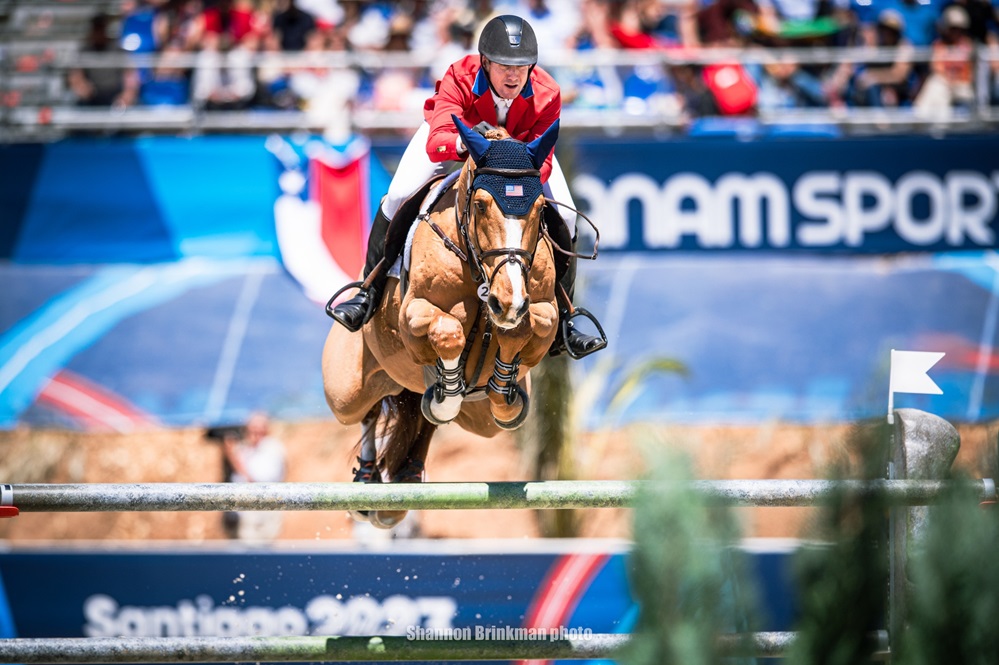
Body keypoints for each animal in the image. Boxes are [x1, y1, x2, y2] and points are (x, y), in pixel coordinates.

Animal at [322, 116, 563, 528]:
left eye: (539, 208)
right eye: (481, 205)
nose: (507, 301)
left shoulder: (543, 307)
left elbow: (530, 326)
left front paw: (504, 391)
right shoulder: (413, 312)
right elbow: (448, 331)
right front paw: (448, 395)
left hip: (478, 421)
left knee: (421, 417)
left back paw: (407, 473)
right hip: (345, 392)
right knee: (368, 411)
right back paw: (369, 481)